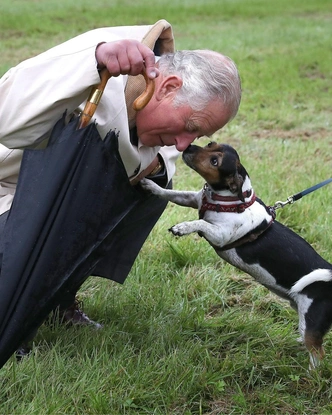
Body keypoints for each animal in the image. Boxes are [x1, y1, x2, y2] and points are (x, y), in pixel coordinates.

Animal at [141, 141, 332, 368]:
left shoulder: (220, 235)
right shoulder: (191, 199)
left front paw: (183, 227)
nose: (188, 147)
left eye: (215, 161)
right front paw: (151, 185)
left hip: (311, 321)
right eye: (210, 144)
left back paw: (311, 374)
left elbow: (201, 222)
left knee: (318, 354)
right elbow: (170, 194)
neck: (229, 200)